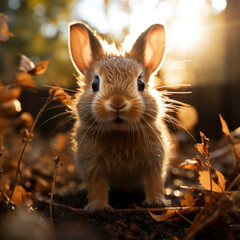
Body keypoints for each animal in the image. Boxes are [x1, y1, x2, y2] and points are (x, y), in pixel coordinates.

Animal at [68, 22, 173, 212]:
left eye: (141, 84)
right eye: (95, 84)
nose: (118, 102)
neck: (119, 132)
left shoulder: (154, 162)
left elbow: (153, 181)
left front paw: (157, 202)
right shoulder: (92, 164)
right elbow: (97, 185)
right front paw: (98, 207)